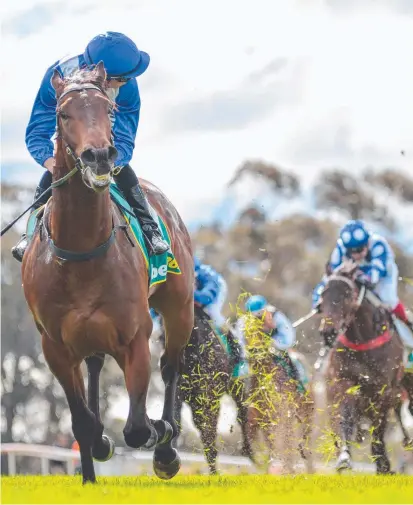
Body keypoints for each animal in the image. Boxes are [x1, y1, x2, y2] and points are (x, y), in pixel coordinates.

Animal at [19, 65, 193, 482]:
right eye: (63, 114)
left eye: (109, 111)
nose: (99, 155)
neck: (82, 251)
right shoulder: (55, 346)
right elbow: (83, 423)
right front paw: (90, 470)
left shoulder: (135, 336)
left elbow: (137, 428)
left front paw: (159, 433)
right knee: (96, 365)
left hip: (180, 308)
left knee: (171, 366)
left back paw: (167, 447)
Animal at [318, 260, 402, 472]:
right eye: (323, 294)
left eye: (346, 295)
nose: (328, 331)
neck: (362, 341)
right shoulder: (343, 382)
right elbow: (345, 418)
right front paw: (344, 458)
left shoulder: (383, 392)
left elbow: (378, 432)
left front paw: (383, 465)